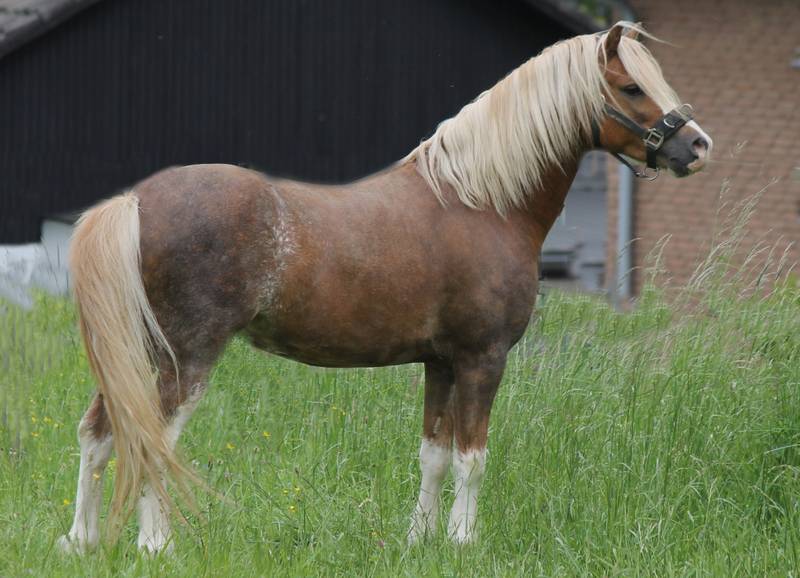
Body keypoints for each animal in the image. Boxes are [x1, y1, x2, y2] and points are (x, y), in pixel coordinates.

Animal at [58, 21, 712, 553]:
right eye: (631, 88)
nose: (698, 146)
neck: (481, 203)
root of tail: (136, 201)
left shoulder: (441, 363)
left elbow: (435, 455)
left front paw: (421, 539)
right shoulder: (483, 358)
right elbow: (473, 457)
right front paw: (463, 541)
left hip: (138, 351)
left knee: (99, 432)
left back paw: (81, 541)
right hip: (185, 356)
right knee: (152, 439)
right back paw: (155, 545)